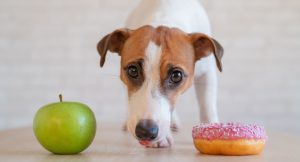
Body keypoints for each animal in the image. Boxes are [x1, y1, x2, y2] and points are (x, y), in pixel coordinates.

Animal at [96, 0, 223, 147]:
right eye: (132, 70)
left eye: (176, 75)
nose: (145, 131)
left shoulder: (207, 73)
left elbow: (207, 105)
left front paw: (212, 129)